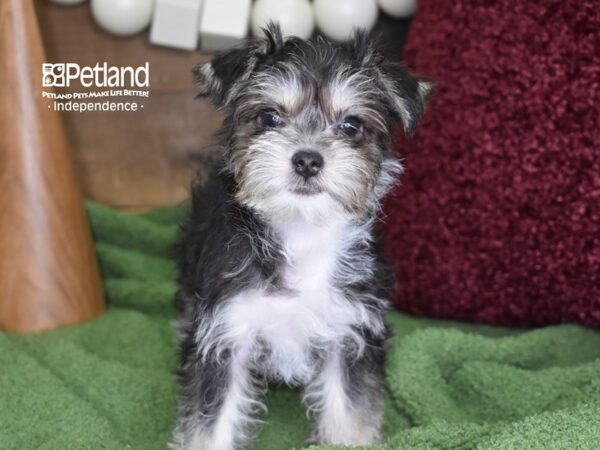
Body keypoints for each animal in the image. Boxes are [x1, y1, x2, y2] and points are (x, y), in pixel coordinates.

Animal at [172, 24, 432, 450]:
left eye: (351, 125)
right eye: (269, 116)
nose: (308, 160)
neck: (299, 231)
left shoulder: (349, 331)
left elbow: (349, 414)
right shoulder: (227, 334)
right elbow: (210, 423)